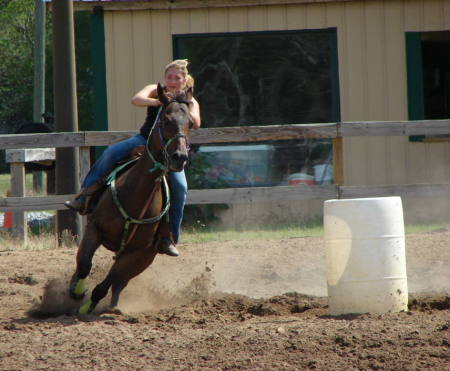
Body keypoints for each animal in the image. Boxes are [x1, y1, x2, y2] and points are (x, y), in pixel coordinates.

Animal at [69, 84, 192, 314]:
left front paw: (87, 306)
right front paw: (76, 292)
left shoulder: (138, 253)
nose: (180, 157)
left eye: (190, 123)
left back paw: (115, 306)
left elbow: (108, 283)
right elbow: (84, 263)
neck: (135, 196)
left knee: (120, 282)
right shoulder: (94, 228)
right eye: (166, 121)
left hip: (145, 258)